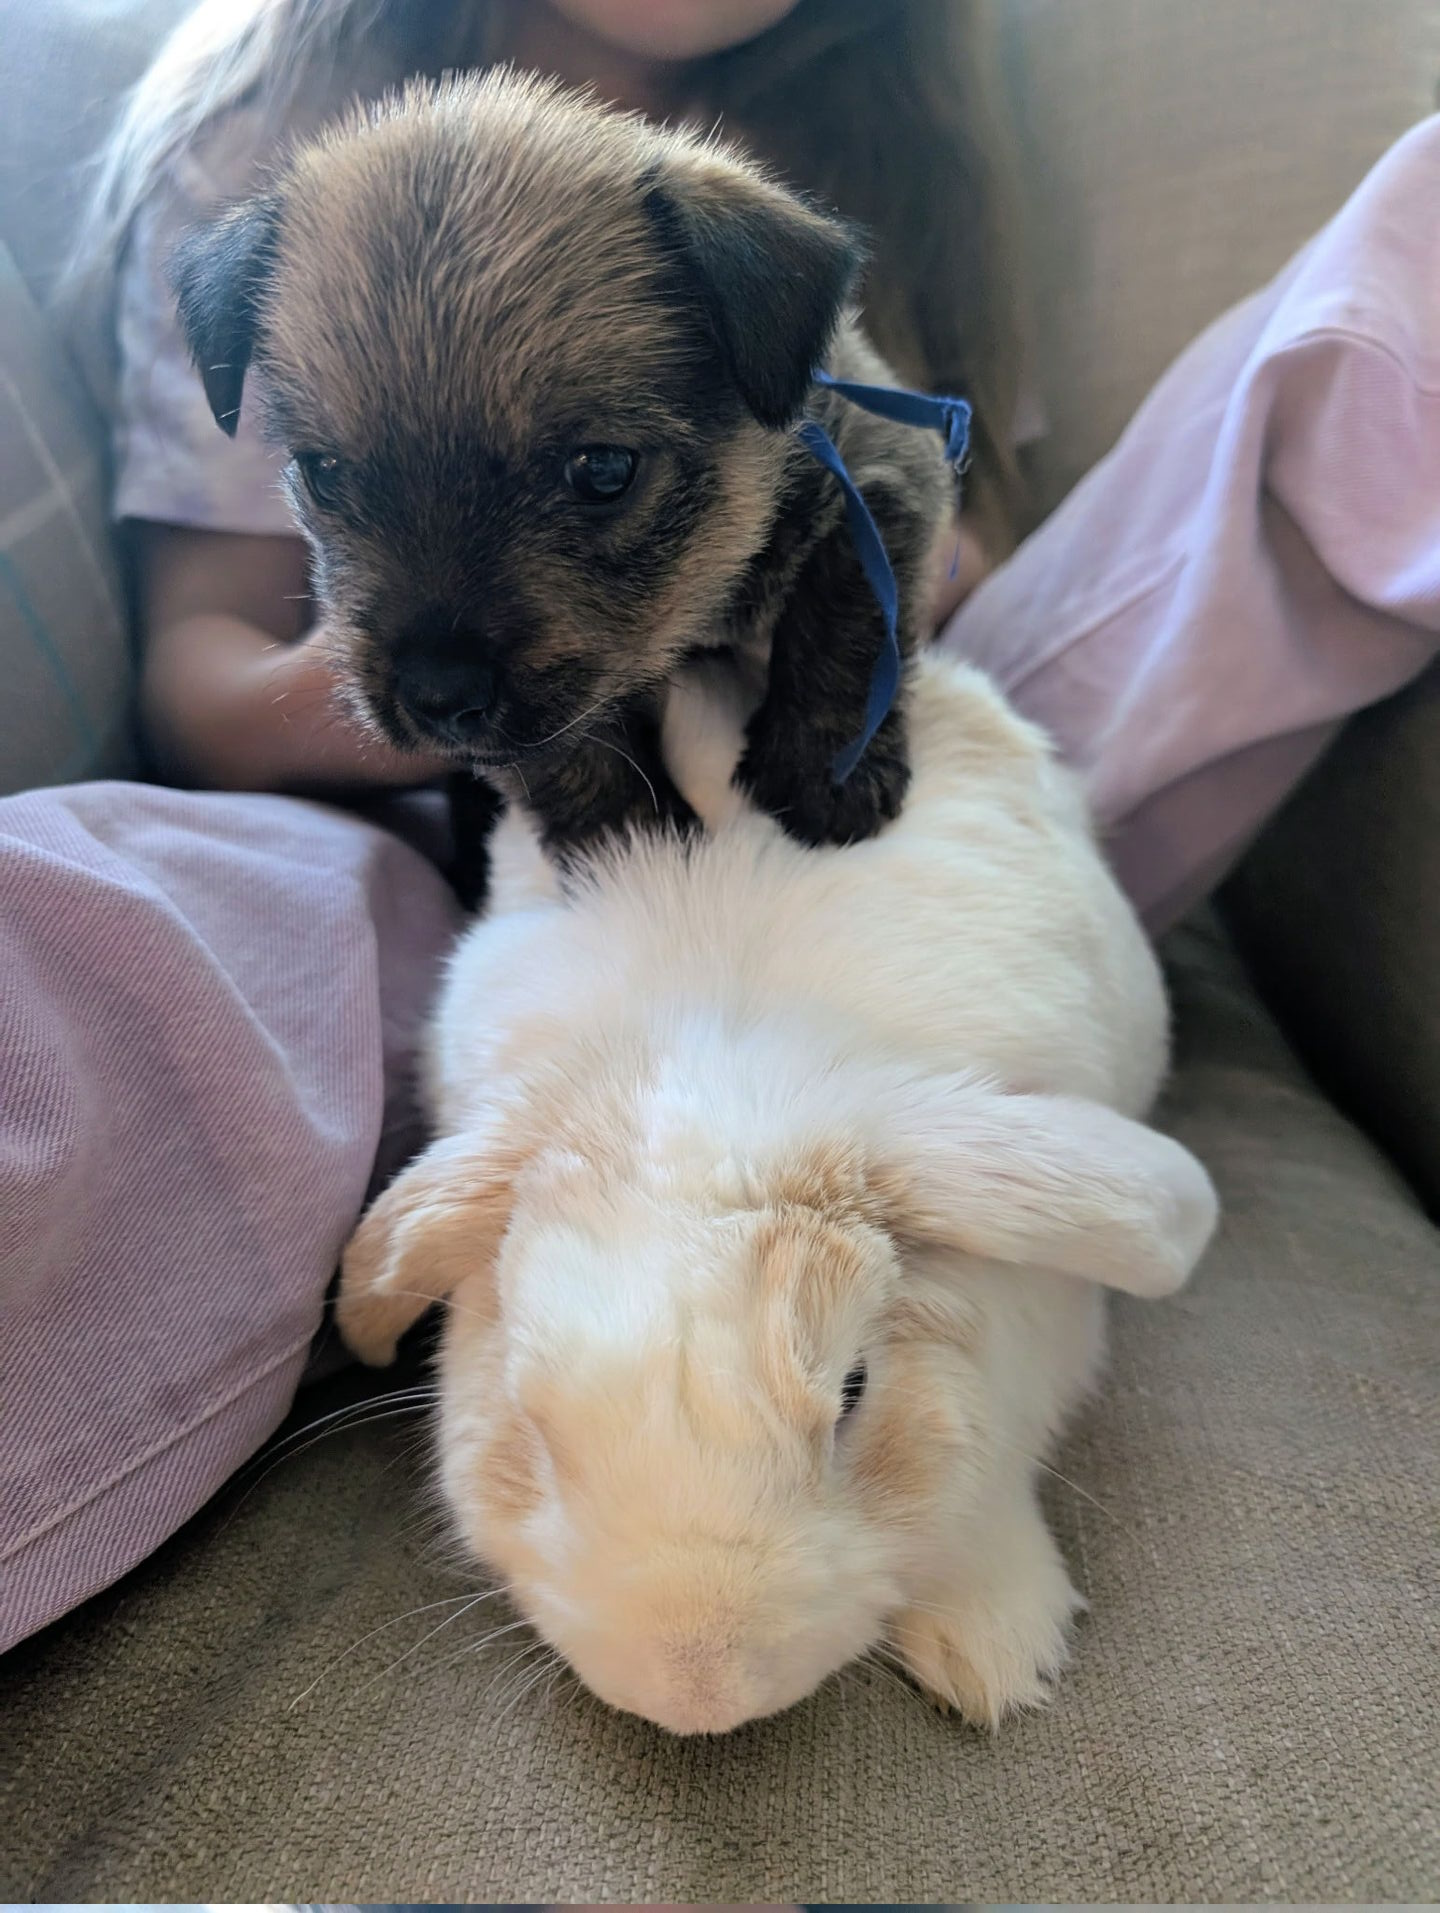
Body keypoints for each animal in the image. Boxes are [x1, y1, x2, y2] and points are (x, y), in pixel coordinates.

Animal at [171, 70, 955, 900]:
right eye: (323, 473)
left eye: (603, 470)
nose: (437, 694)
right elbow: (570, 749)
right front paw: (631, 846)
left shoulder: (886, 464)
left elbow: (853, 606)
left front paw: (827, 768)